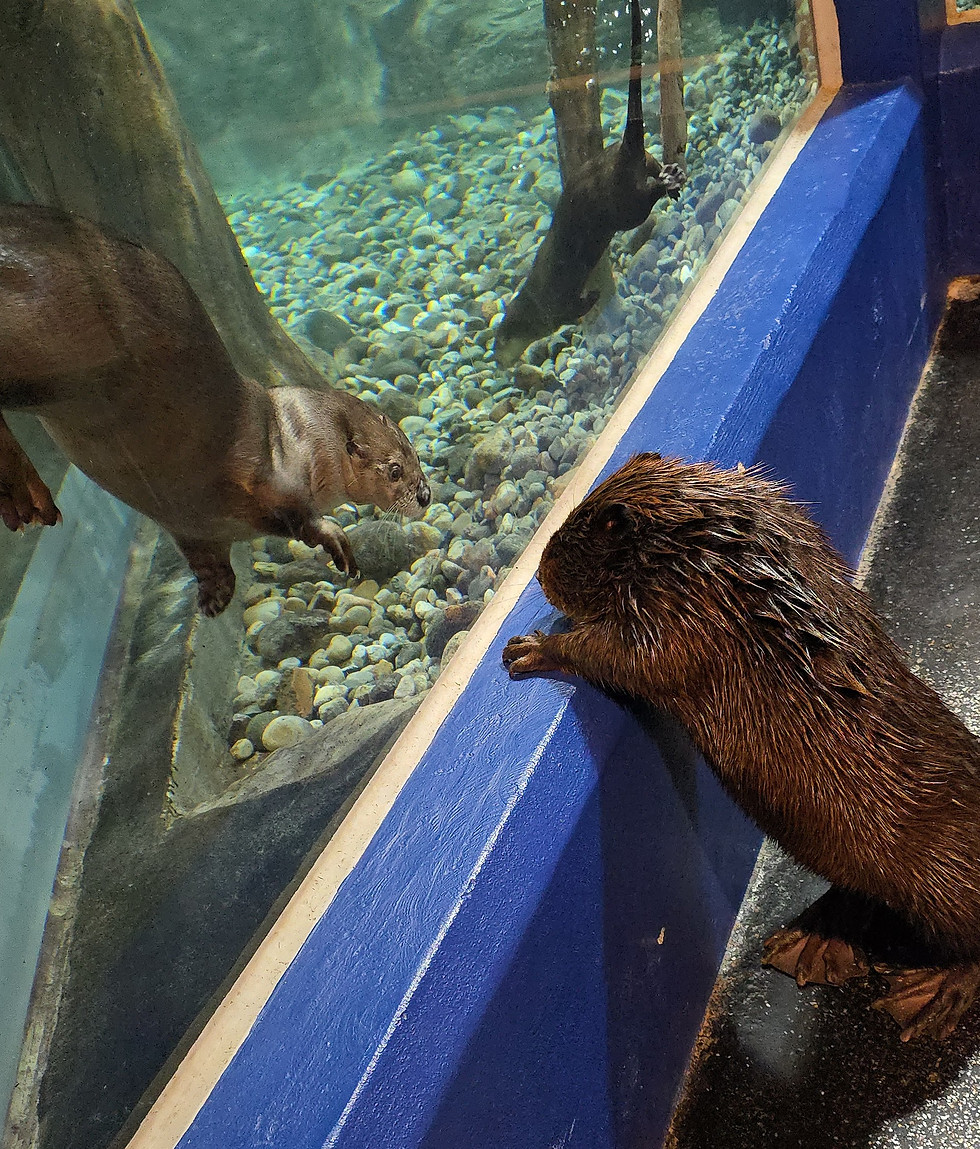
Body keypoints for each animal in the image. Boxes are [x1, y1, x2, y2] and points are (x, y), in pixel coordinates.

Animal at [0, 204, 430, 616]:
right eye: (394, 470)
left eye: (414, 455)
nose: (425, 494)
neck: (293, 440)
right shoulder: (268, 481)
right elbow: (299, 518)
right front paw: (337, 541)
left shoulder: (195, 526)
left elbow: (205, 557)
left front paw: (214, 594)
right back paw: (23, 493)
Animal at [493, 0, 685, 368]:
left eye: (497, 344)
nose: (498, 363)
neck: (533, 310)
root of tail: (618, 157)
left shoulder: (554, 312)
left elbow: (574, 309)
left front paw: (593, 296)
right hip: (638, 162)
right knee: (653, 165)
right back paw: (673, 175)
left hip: (623, 206)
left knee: (642, 201)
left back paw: (668, 184)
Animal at [504, 452, 980, 1042]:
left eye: (580, 533)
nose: (541, 573)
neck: (712, 546)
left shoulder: (686, 619)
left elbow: (622, 658)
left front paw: (529, 648)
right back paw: (813, 941)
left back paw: (927, 993)